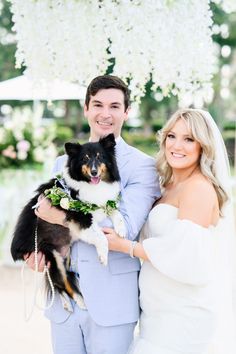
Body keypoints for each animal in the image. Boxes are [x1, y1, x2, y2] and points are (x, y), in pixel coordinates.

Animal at [10, 134, 125, 306]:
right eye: (85, 158)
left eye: (100, 157)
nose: (94, 172)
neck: (90, 185)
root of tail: (15, 250)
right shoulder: (81, 218)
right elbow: (100, 236)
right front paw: (103, 256)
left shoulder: (103, 204)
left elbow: (115, 212)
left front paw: (122, 229)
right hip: (50, 256)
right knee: (62, 282)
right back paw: (80, 302)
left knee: (56, 282)